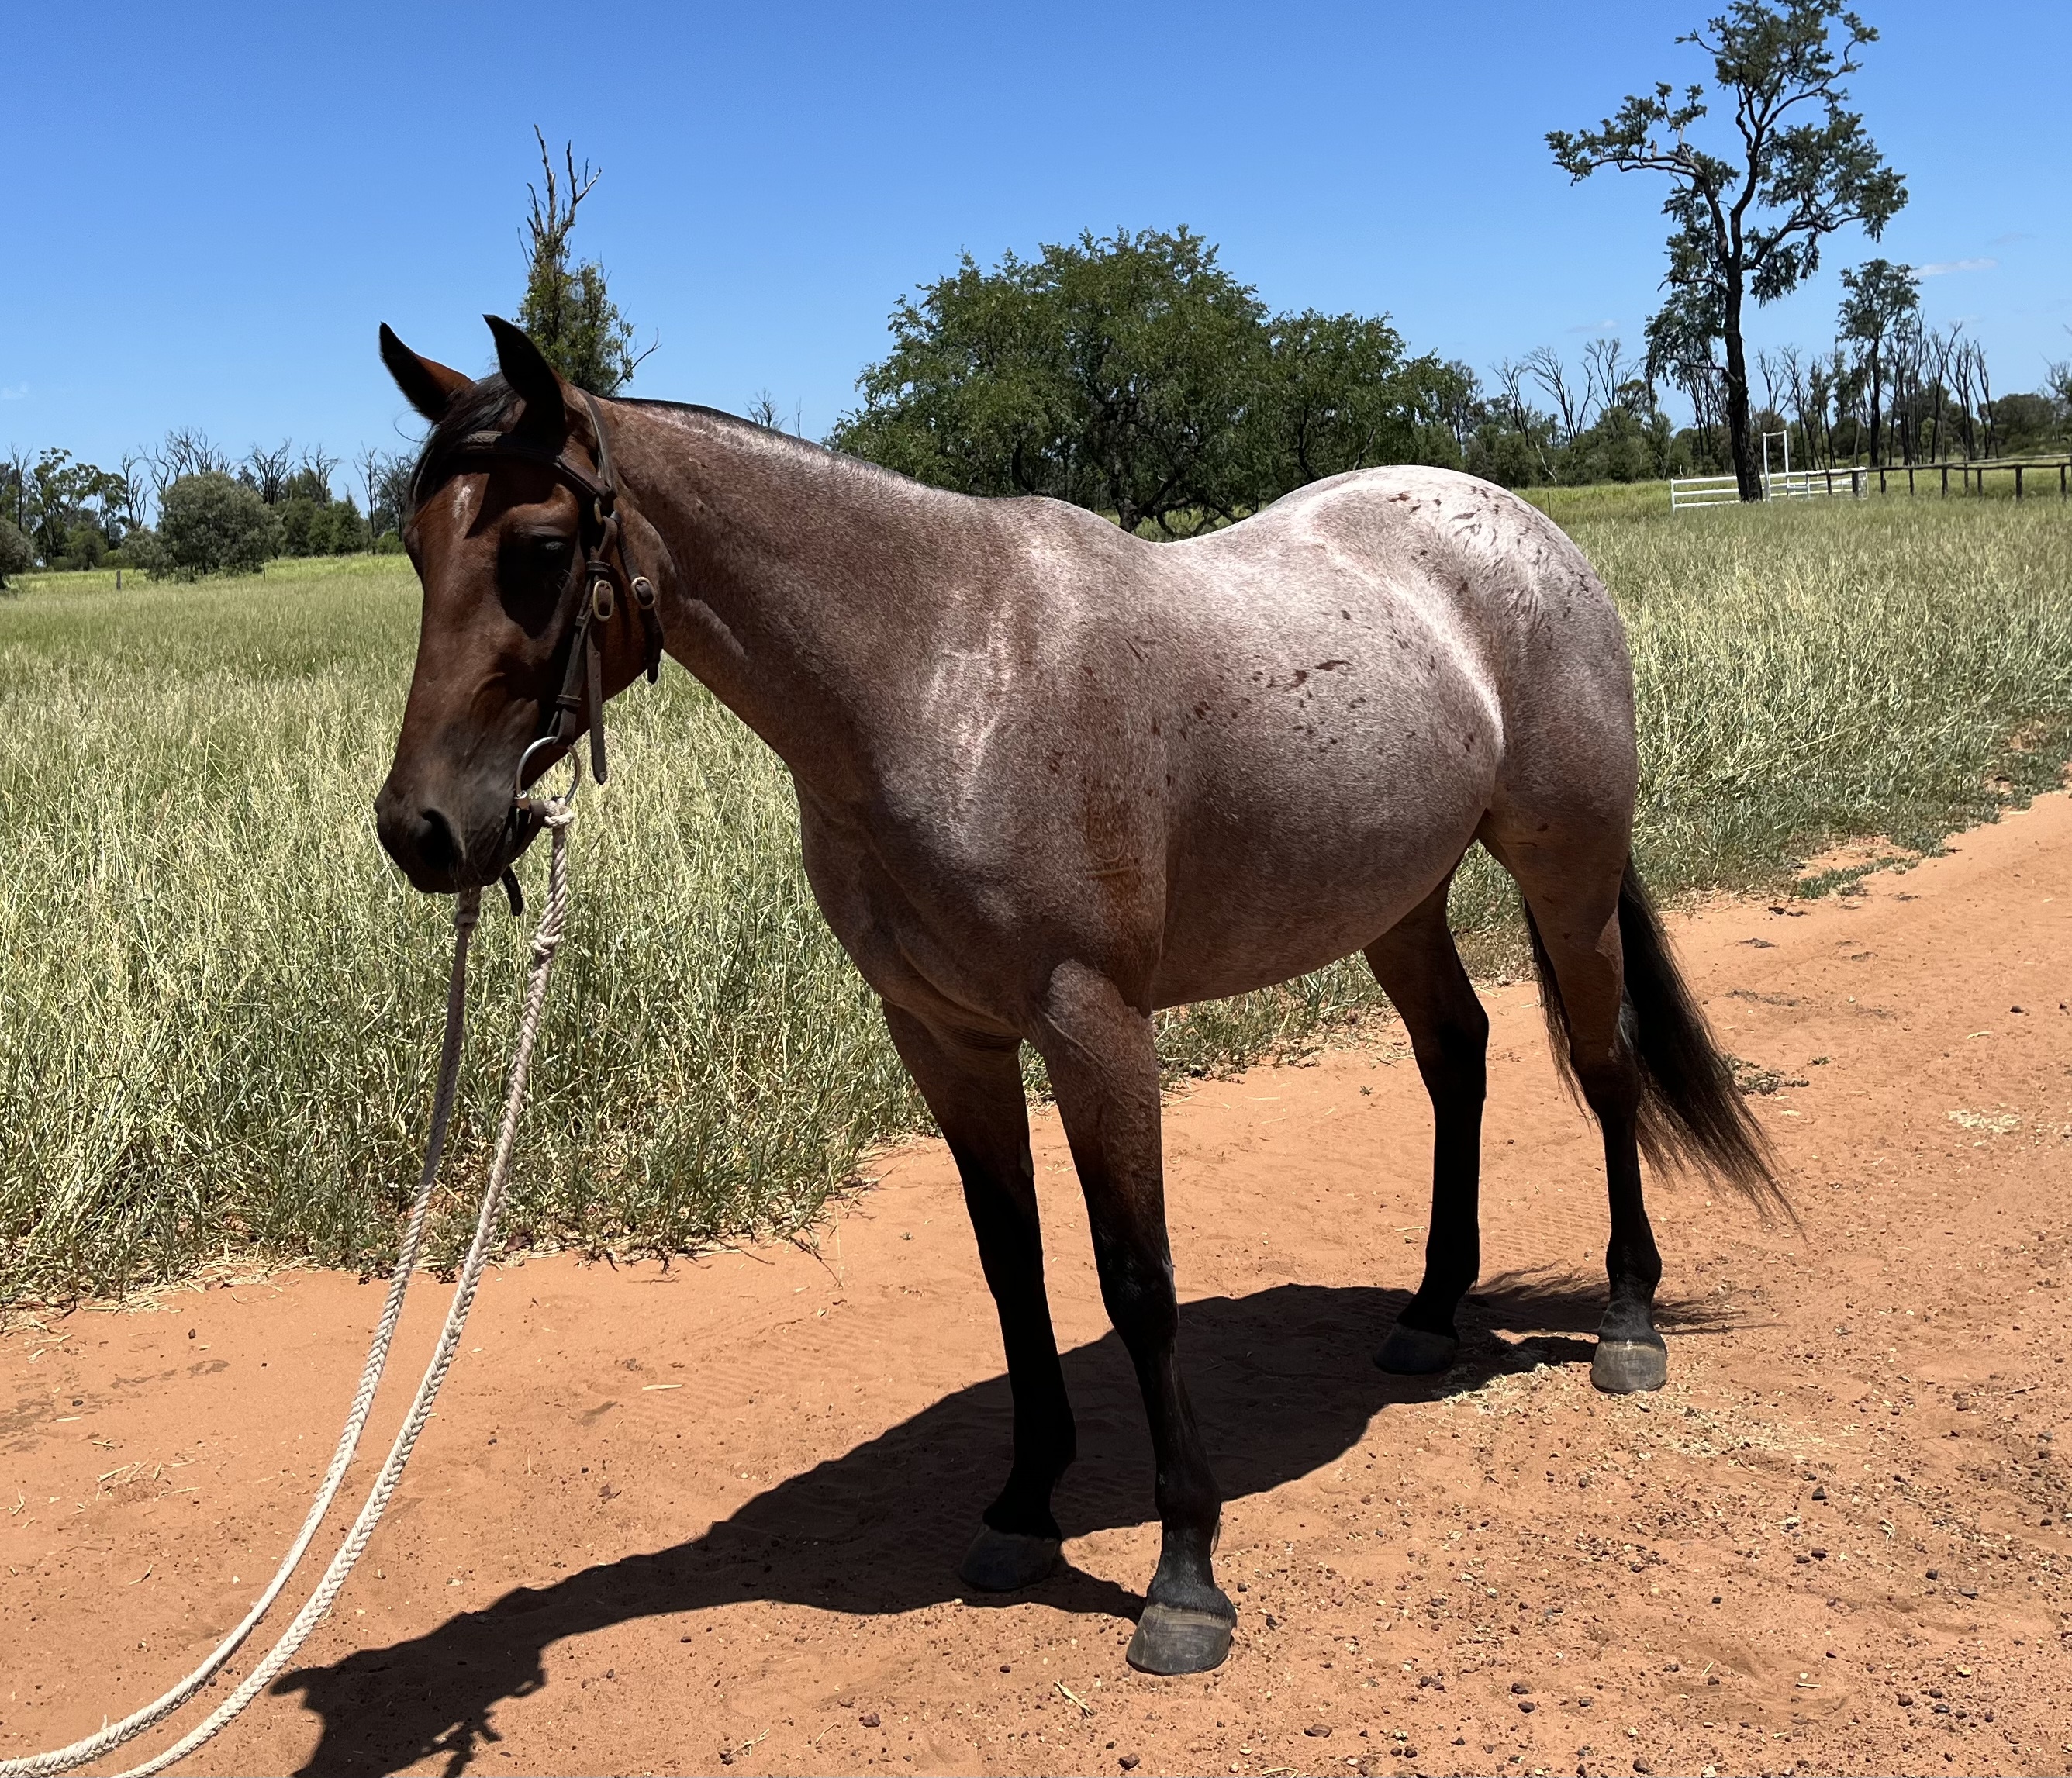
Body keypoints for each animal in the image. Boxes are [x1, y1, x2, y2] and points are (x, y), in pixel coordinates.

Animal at [372, 316, 1779, 1676]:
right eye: (415, 548)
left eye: (542, 546)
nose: (421, 829)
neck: (941, 677)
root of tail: (1531, 534)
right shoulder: (943, 1037)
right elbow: (1013, 1270)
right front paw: (1021, 1506)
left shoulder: (1093, 1026)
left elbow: (1135, 1278)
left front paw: (1183, 1577)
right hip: (1394, 899)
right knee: (1458, 1055)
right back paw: (1432, 1313)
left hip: (1566, 870)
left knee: (1603, 1066)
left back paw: (1628, 1322)